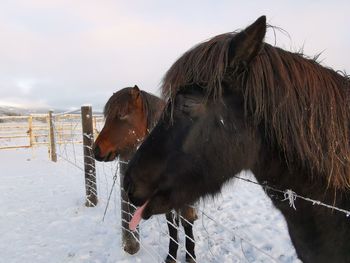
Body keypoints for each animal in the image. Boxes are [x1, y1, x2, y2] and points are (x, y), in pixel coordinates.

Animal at [93, 86, 197, 263]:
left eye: (122, 114)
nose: (96, 150)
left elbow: (187, 222)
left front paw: (191, 255)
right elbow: (171, 225)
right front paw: (171, 255)